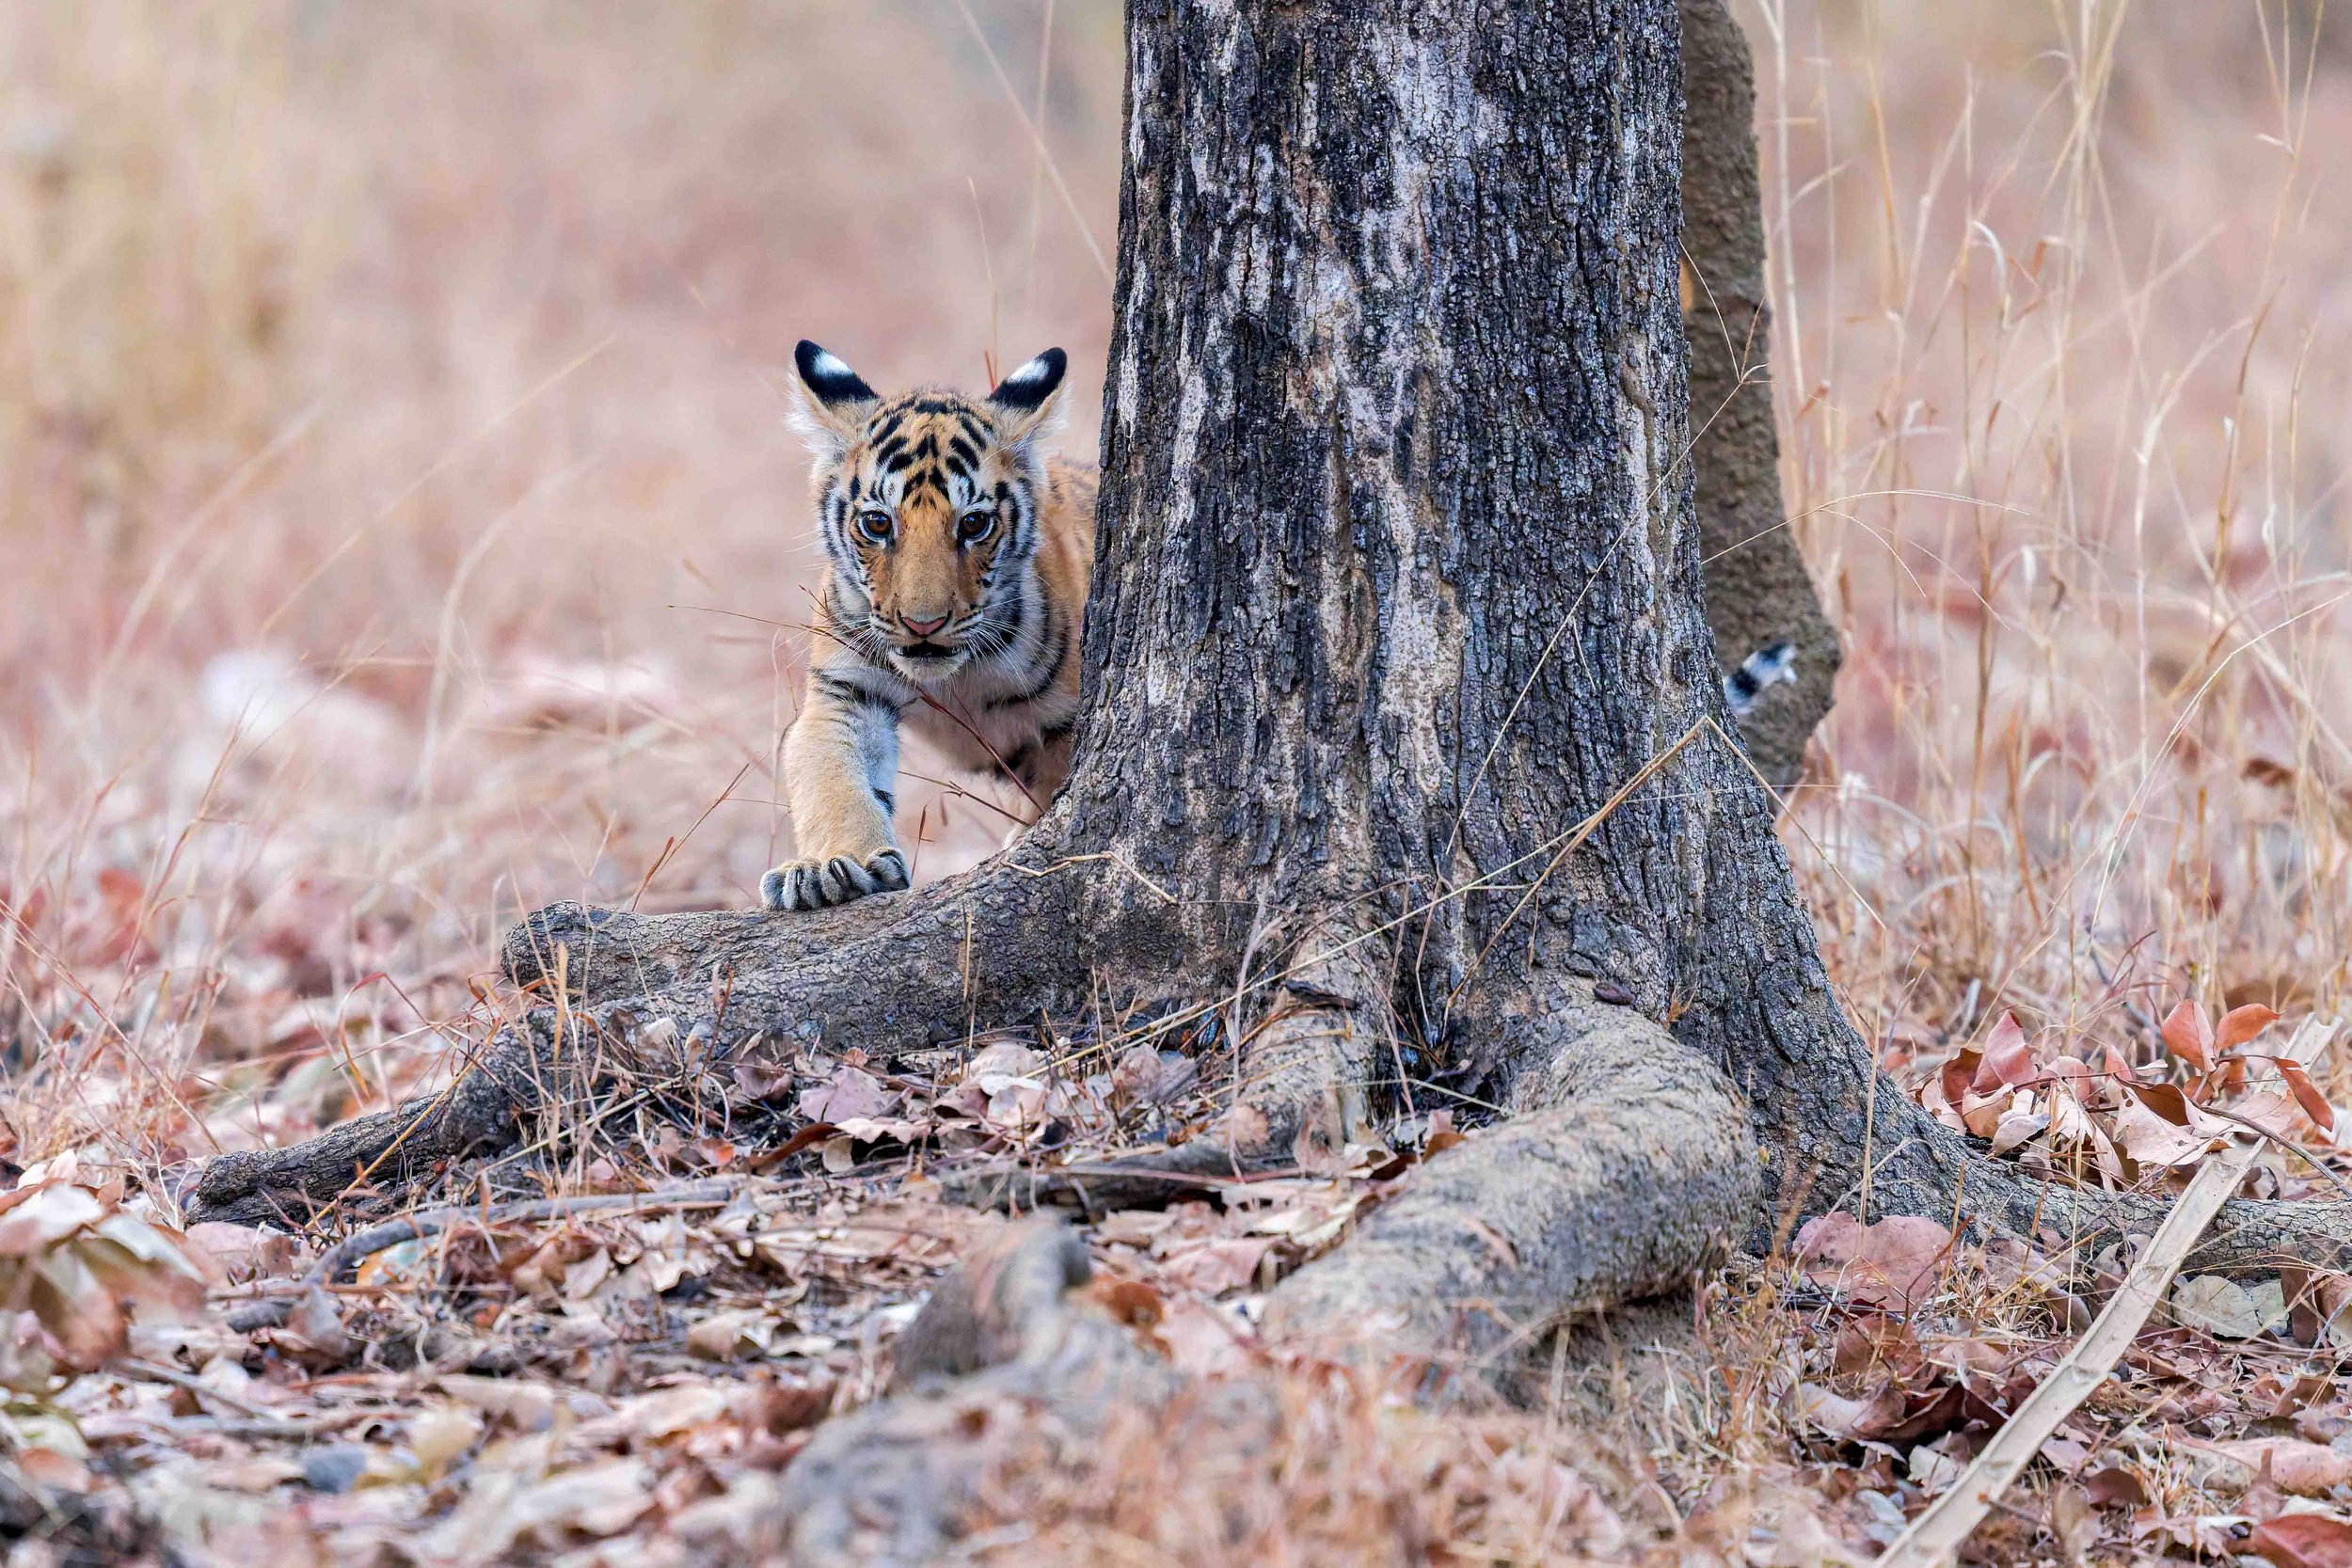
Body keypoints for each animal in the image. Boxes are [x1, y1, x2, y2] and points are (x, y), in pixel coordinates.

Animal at [762, 340, 1095, 912]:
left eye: (974, 524)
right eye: (878, 523)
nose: (924, 624)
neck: (955, 676)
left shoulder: (1069, 720)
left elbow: (1053, 789)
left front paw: (1023, 844)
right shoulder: (845, 692)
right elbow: (829, 778)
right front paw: (828, 868)